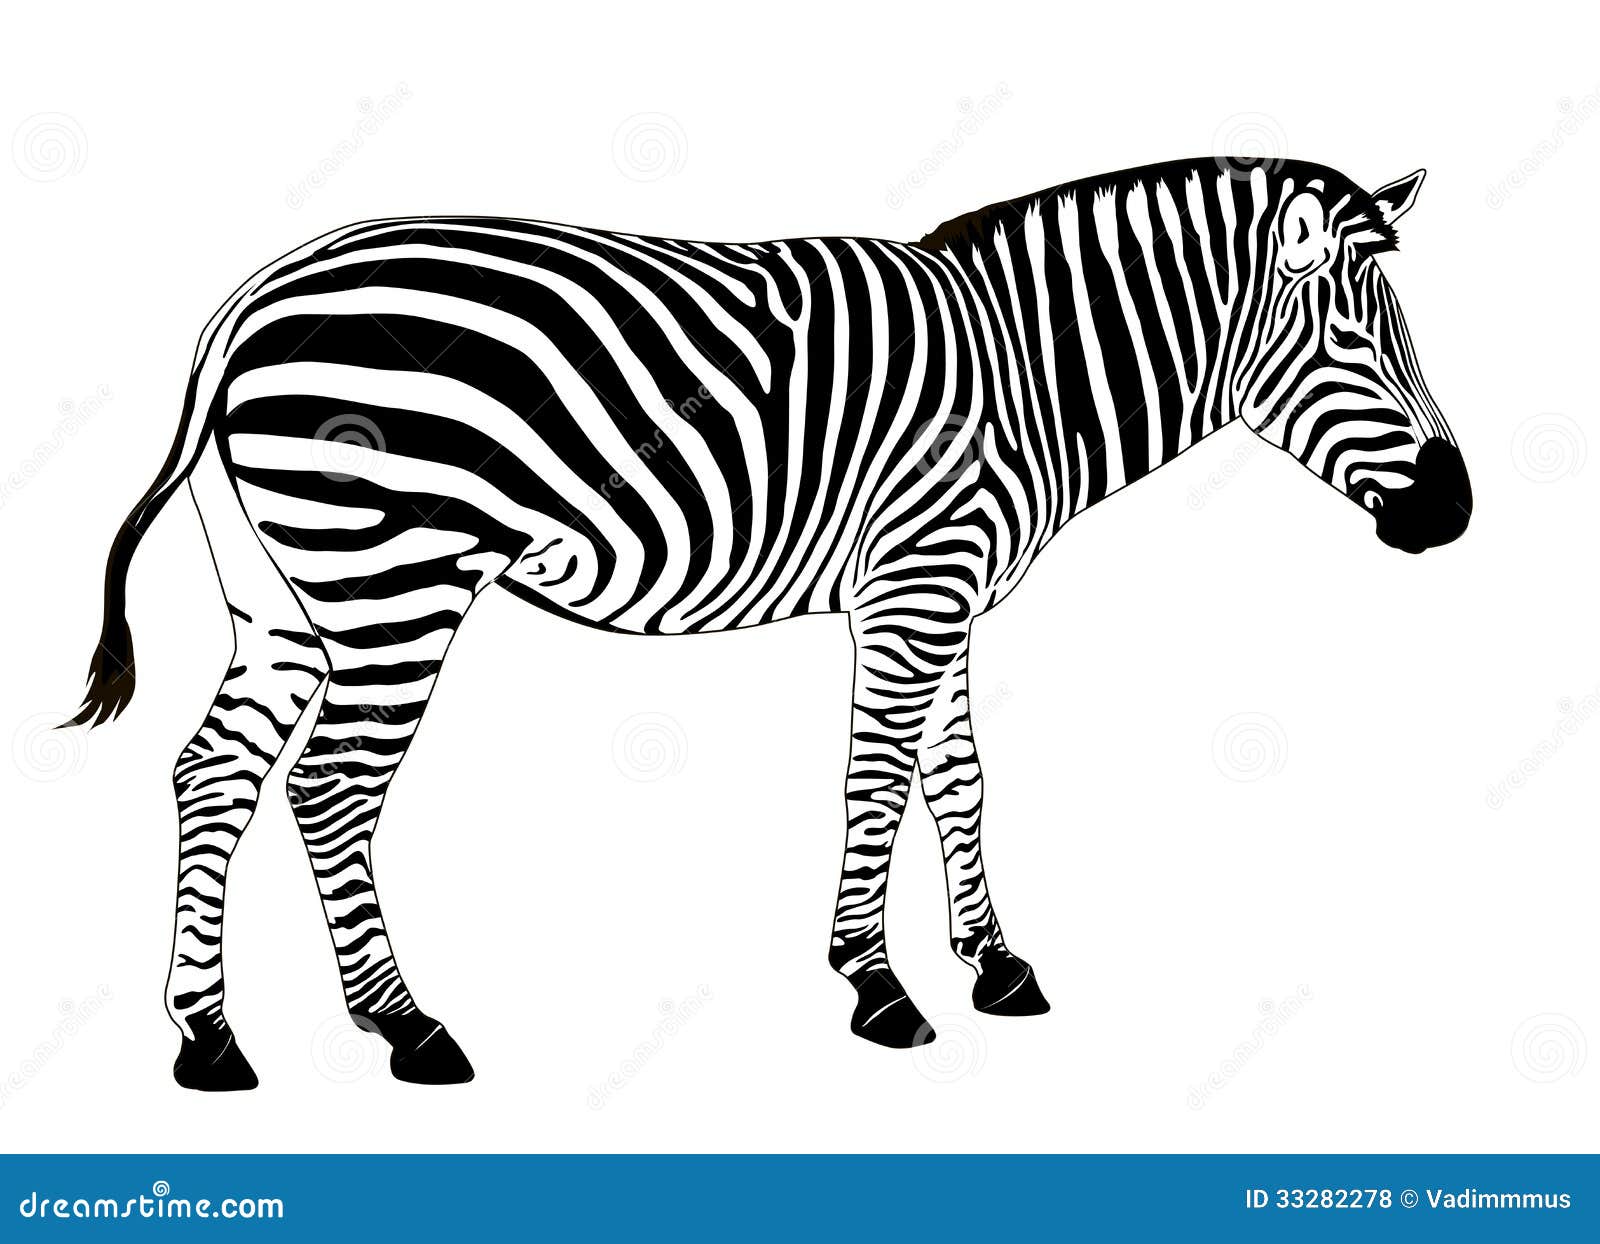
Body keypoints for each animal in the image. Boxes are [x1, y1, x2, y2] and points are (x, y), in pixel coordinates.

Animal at [66, 156, 1470, 1089]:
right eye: (1353, 340)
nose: (1453, 511)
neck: (1024, 368)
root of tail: (248, 299)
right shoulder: (916, 579)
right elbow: (878, 773)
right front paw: (878, 985)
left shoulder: (949, 588)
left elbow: (960, 773)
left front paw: (994, 965)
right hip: (395, 570)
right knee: (333, 785)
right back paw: (409, 1027)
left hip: (285, 594)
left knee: (213, 771)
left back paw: (209, 1038)